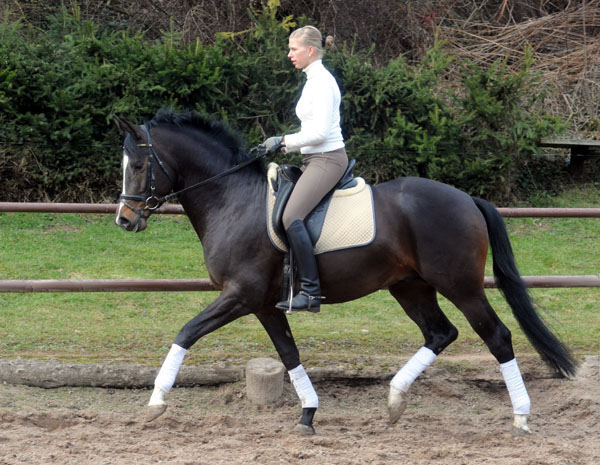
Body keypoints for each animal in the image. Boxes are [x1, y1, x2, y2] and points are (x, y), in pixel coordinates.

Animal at [113, 109, 576, 436]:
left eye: (137, 166)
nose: (124, 220)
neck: (232, 199)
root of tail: (467, 199)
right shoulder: (263, 304)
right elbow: (289, 354)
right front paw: (307, 414)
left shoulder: (240, 295)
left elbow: (186, 332)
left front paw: (155, 402)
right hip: (410, 287)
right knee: (440, 333)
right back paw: (394, 400)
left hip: (461, 286)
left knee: (497, 336)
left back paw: (521, 417)